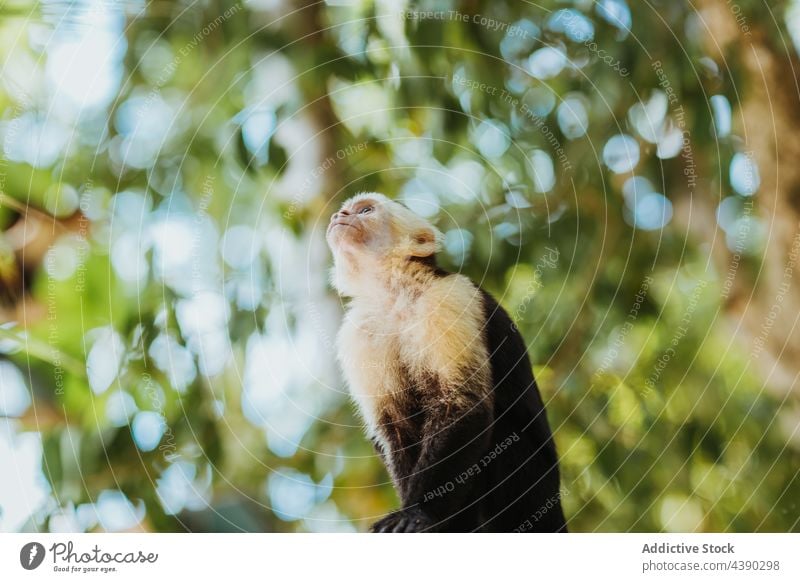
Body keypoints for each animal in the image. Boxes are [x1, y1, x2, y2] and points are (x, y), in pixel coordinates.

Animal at [326, 193, 568, 532]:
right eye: (347, 211)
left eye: (365, 210)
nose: (340, 216)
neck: (394, 296)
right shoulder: (358, 331)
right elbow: (392, 428)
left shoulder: (449, 297)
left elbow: (464, 406)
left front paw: (415, 512)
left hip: (534, 493)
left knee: (505, 435)